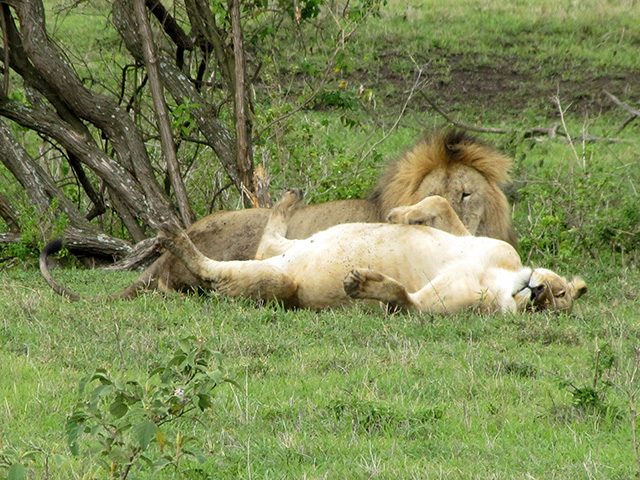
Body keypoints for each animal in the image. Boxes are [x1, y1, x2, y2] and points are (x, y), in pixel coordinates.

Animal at [158, 191, 588, 316]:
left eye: (552, 308)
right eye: (559, 291)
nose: (537, 294)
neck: (501, 279)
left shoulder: (429, 307)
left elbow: (402, 297)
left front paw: (361, 282)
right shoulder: (484, 243)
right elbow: (441, 203)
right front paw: (400, 215)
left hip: (278, 280)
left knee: (215, 273)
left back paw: (173, 237)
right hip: (294, 246)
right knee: (267, 241)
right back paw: (289, 199)